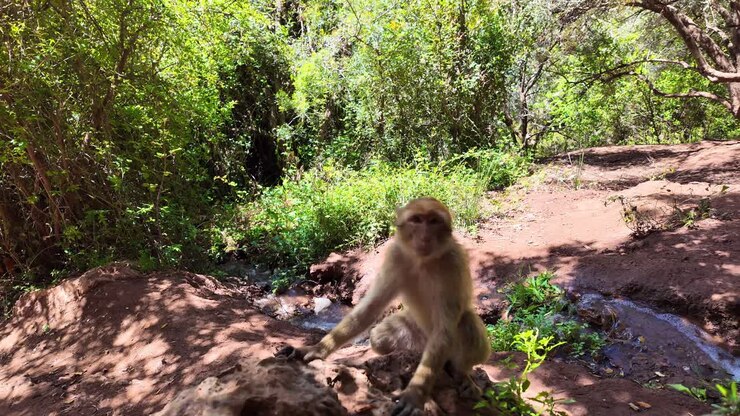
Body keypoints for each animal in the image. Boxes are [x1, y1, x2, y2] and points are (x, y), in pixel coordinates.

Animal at [277, 197, 491, 416]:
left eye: (433, 221)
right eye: (417, 220)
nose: (425, 236)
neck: (423, 260)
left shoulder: (453, 264)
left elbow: (444, 330)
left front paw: (415, 394)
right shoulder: (395, 255)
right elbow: (371, 307)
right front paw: (316, 349)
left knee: (466, 324)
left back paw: (461, 373)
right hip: (414, 335)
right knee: (379, 337)